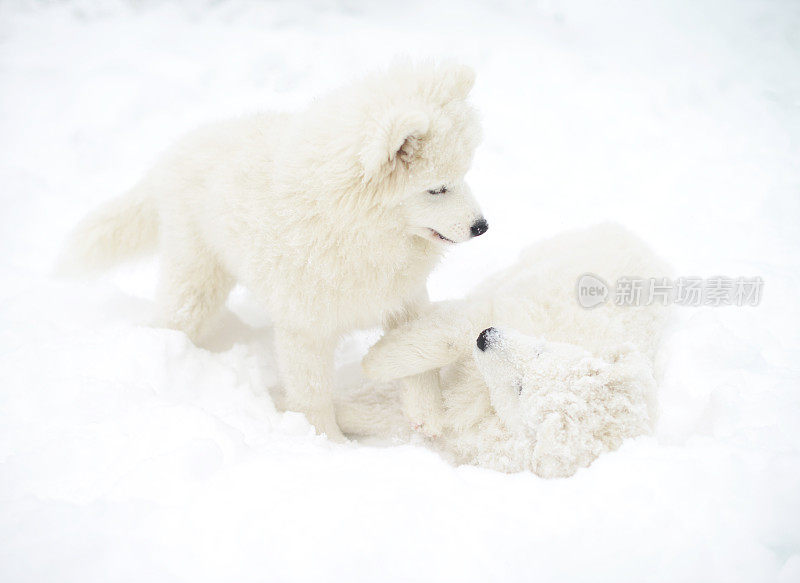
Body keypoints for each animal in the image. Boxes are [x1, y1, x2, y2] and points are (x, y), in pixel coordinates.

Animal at [59, 60, 484, 442]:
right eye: (436, 189)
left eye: (463, 176)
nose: (482, 226)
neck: (352, 227)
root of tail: (172, 153)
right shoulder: (304, 327)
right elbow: (312, 395)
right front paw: (328, 444)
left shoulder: (404, 296)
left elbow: (417, 356)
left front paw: (427, 414)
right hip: (196, 277)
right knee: (176, 316)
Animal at [334, 225, 672, 480]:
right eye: (540, 352)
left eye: (520, 389)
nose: (487, 338)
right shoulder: (503, 311)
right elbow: (450, 335)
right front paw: (376, 361)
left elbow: (395, 416)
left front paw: (343, 412)